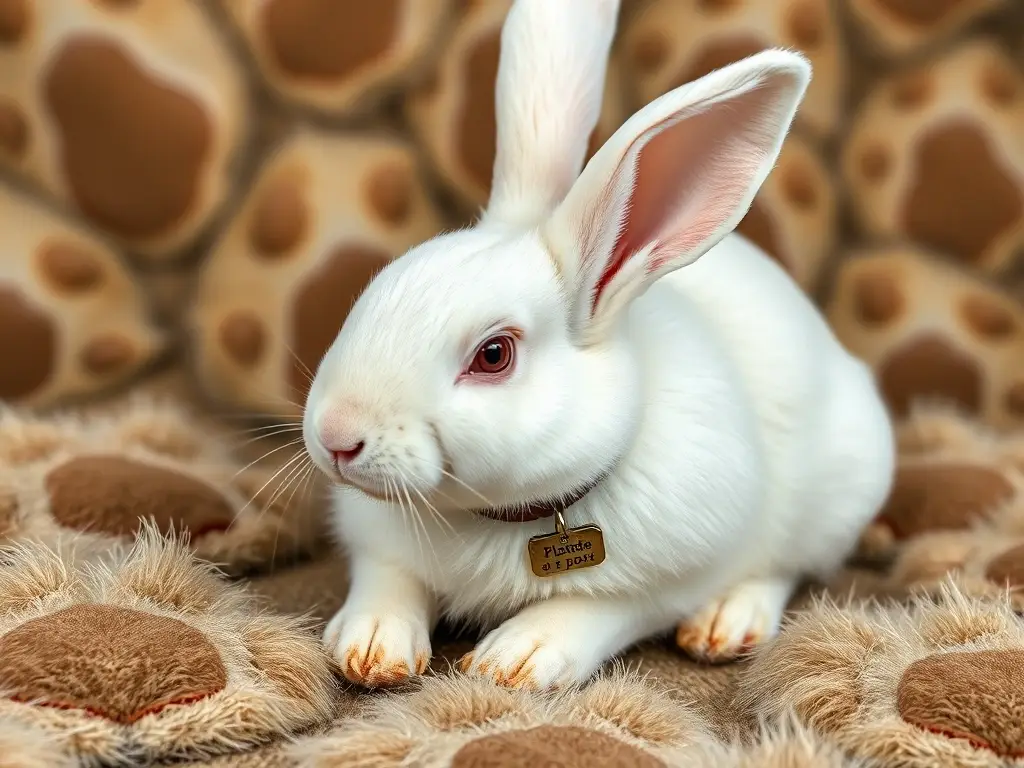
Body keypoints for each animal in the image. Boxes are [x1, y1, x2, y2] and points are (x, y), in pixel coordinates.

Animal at [300, 0, 896, 691]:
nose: (335, 437)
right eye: (377, 287)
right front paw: (370, 645)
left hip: (835, 492)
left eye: (493, 355)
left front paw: (514, 658)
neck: (505, 517)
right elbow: (388, 580)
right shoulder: (378, 543)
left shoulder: (666, 580)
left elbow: (594, 608)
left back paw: (726, 623)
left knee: (786, 565)